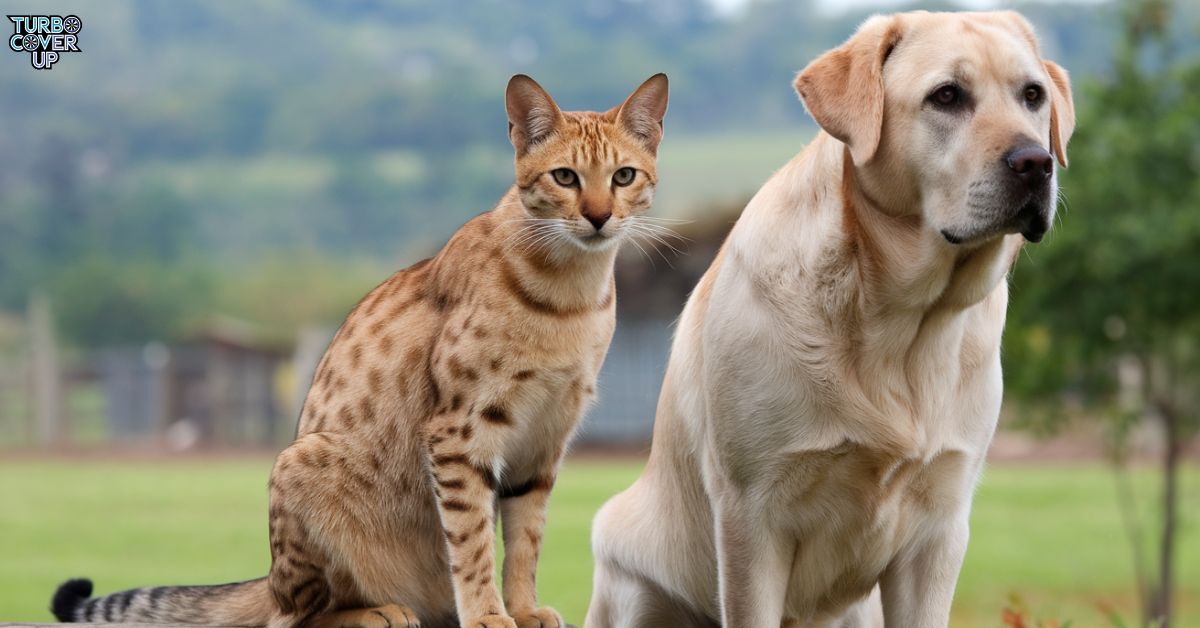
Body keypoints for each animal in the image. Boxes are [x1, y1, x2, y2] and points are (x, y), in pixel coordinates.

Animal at [51, 73, 672, 628]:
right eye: (565, 176)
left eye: (623, 176)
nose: (599, 216)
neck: (571, 298)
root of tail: (267, 579)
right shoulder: (460, 430)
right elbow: (472, 541)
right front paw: (488, 615)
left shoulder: (544, 440)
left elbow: (525, 539)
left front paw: (520, 609)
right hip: (299, 468)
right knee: (293, 617)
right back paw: (378, 611)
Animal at [588, 11, 1080, 628]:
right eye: (947, 95)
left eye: (1033, 95)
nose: (1035, 162)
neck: (903, 318)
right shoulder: (752, 518)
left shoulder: (939, 529)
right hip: (632, 578)